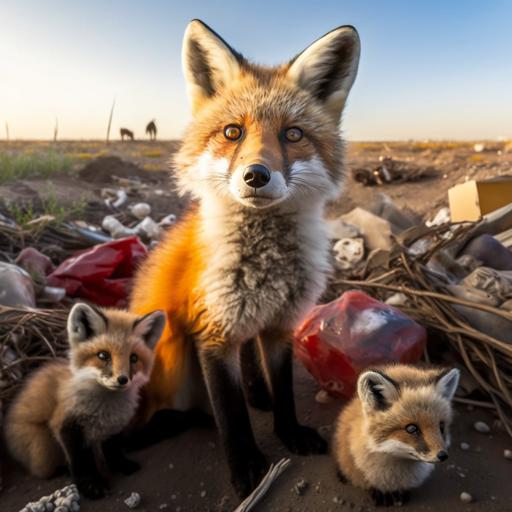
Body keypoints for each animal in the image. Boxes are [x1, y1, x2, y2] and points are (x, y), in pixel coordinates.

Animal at [4, 304, 163, 500]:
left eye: (133, 358)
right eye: (103, 355)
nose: (122, 380)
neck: (106, 409)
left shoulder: (113, 428)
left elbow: (114, 451)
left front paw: (120, 465)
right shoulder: (66, 426)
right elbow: (80, 462)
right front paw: (89, 484)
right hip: (44, 448)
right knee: (44, 471)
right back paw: (63, 470)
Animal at [130, 19, 362, 496]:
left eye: (293, 134)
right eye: (232, 132)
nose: (256, 175)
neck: (263, 272)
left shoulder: (280, 325)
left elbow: (285, 393)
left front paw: (289, 432)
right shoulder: (212, 334)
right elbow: (232, 415)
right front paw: (247, 468)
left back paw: (258, 391)